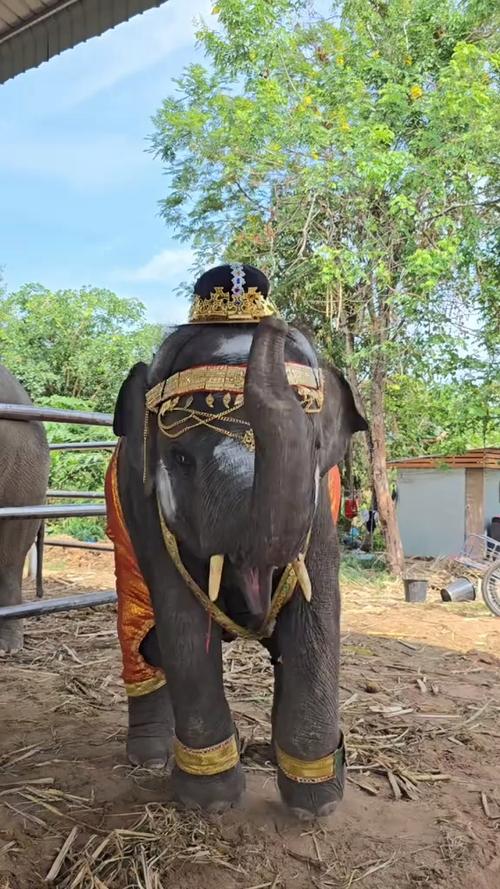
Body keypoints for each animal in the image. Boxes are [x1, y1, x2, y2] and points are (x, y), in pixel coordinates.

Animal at [109, 264, 367, 819]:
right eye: (181, 459)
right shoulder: (143, 507)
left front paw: (314, 807)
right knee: (140, 635)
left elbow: (315, 622)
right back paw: (149, 758)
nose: (271, 320)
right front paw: (210, 802)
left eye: (317, 447)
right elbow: (182, 625)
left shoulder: (321, 509)